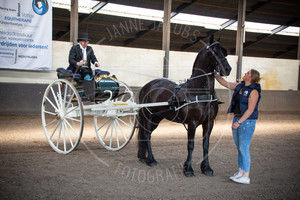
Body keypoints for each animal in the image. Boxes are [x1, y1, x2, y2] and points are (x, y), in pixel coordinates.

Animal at [138, 34, 232, 177]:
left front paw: (206, 168)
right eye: (212, 52)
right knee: (147, 135)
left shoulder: (209, 123)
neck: (199, 92)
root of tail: (146, 86)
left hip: (156, 118)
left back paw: (144, 158)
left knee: (145, 134)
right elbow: (191, 145)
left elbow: (206, 145)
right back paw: (151, 160)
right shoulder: (192, 123)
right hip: (148, 116)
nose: (227, 69)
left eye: (223, 51)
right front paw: (188, 169)